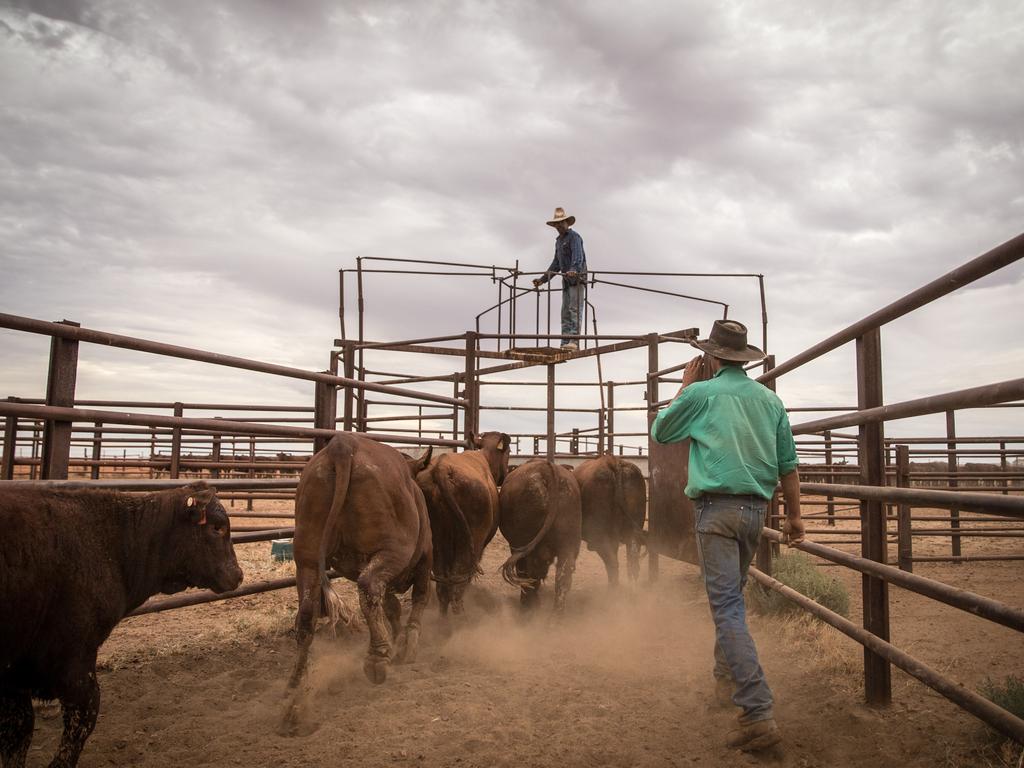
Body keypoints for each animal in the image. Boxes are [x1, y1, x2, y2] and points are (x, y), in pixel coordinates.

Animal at [0, 483, 241, 765]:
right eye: (217, 527)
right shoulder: (74, 663)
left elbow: (20, 732)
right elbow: (78, 725)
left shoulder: (13, 680)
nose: (238, 575)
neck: (115, 542)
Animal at [282, 436, 434, 729]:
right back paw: (378, 657)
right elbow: (418, 598)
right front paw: (407, 643)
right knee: (369, 586)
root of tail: (342, 446)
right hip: (392, 551)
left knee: (306, 613)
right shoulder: (424, 560)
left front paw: (398, 637)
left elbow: (391, 607)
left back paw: (297, 679)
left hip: (307, 558)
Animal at [415, 434, 512, 618]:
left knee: (443, 584)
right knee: (458, 580)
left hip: (437, 540)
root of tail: (442, 468)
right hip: (469, 542)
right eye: (509, 452)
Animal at [497, 460, 581, 618]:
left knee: (529, 572)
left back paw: (528, 606)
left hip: (525, 545)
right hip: (568, 544)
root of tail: (547, 469)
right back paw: (555, 617)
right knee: (563, 575)